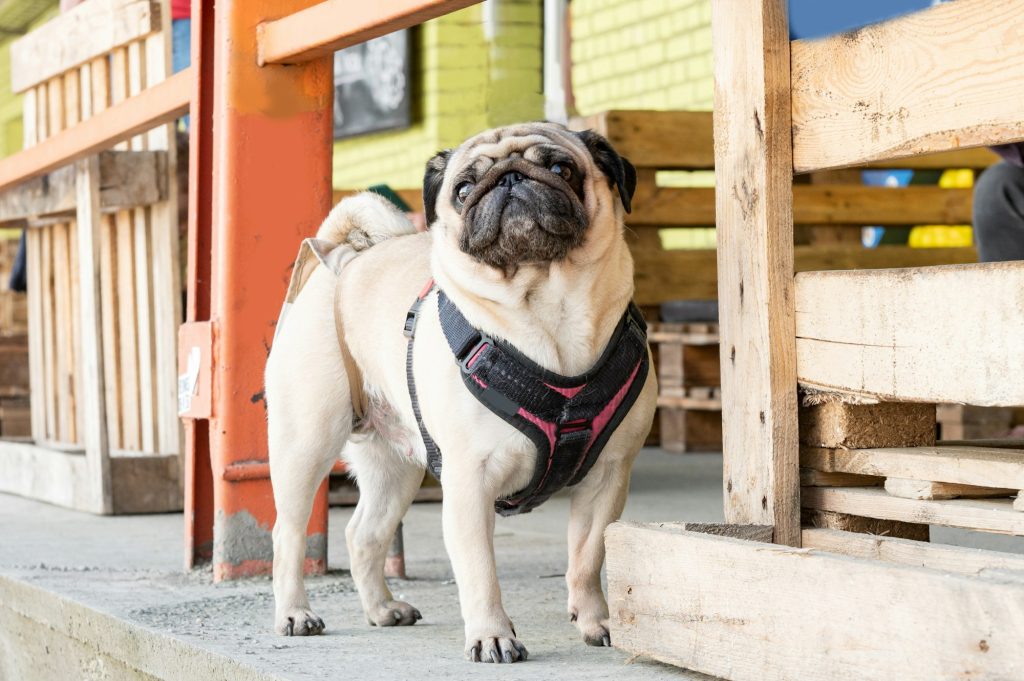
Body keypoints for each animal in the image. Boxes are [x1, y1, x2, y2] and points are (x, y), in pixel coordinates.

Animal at [266, 119, 655, 659]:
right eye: (464, 189)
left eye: (561, 169)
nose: (510, 178)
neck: (547, 309)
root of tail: (345, 258)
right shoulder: (470, 480)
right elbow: (480, 571)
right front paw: (492, 635)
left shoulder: (607, 478)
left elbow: (587, 556)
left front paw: (595, 620)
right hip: (306, 443)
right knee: (288, 533)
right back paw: (294, 613)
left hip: (395, 469)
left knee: (365, 533)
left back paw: (382, 609)